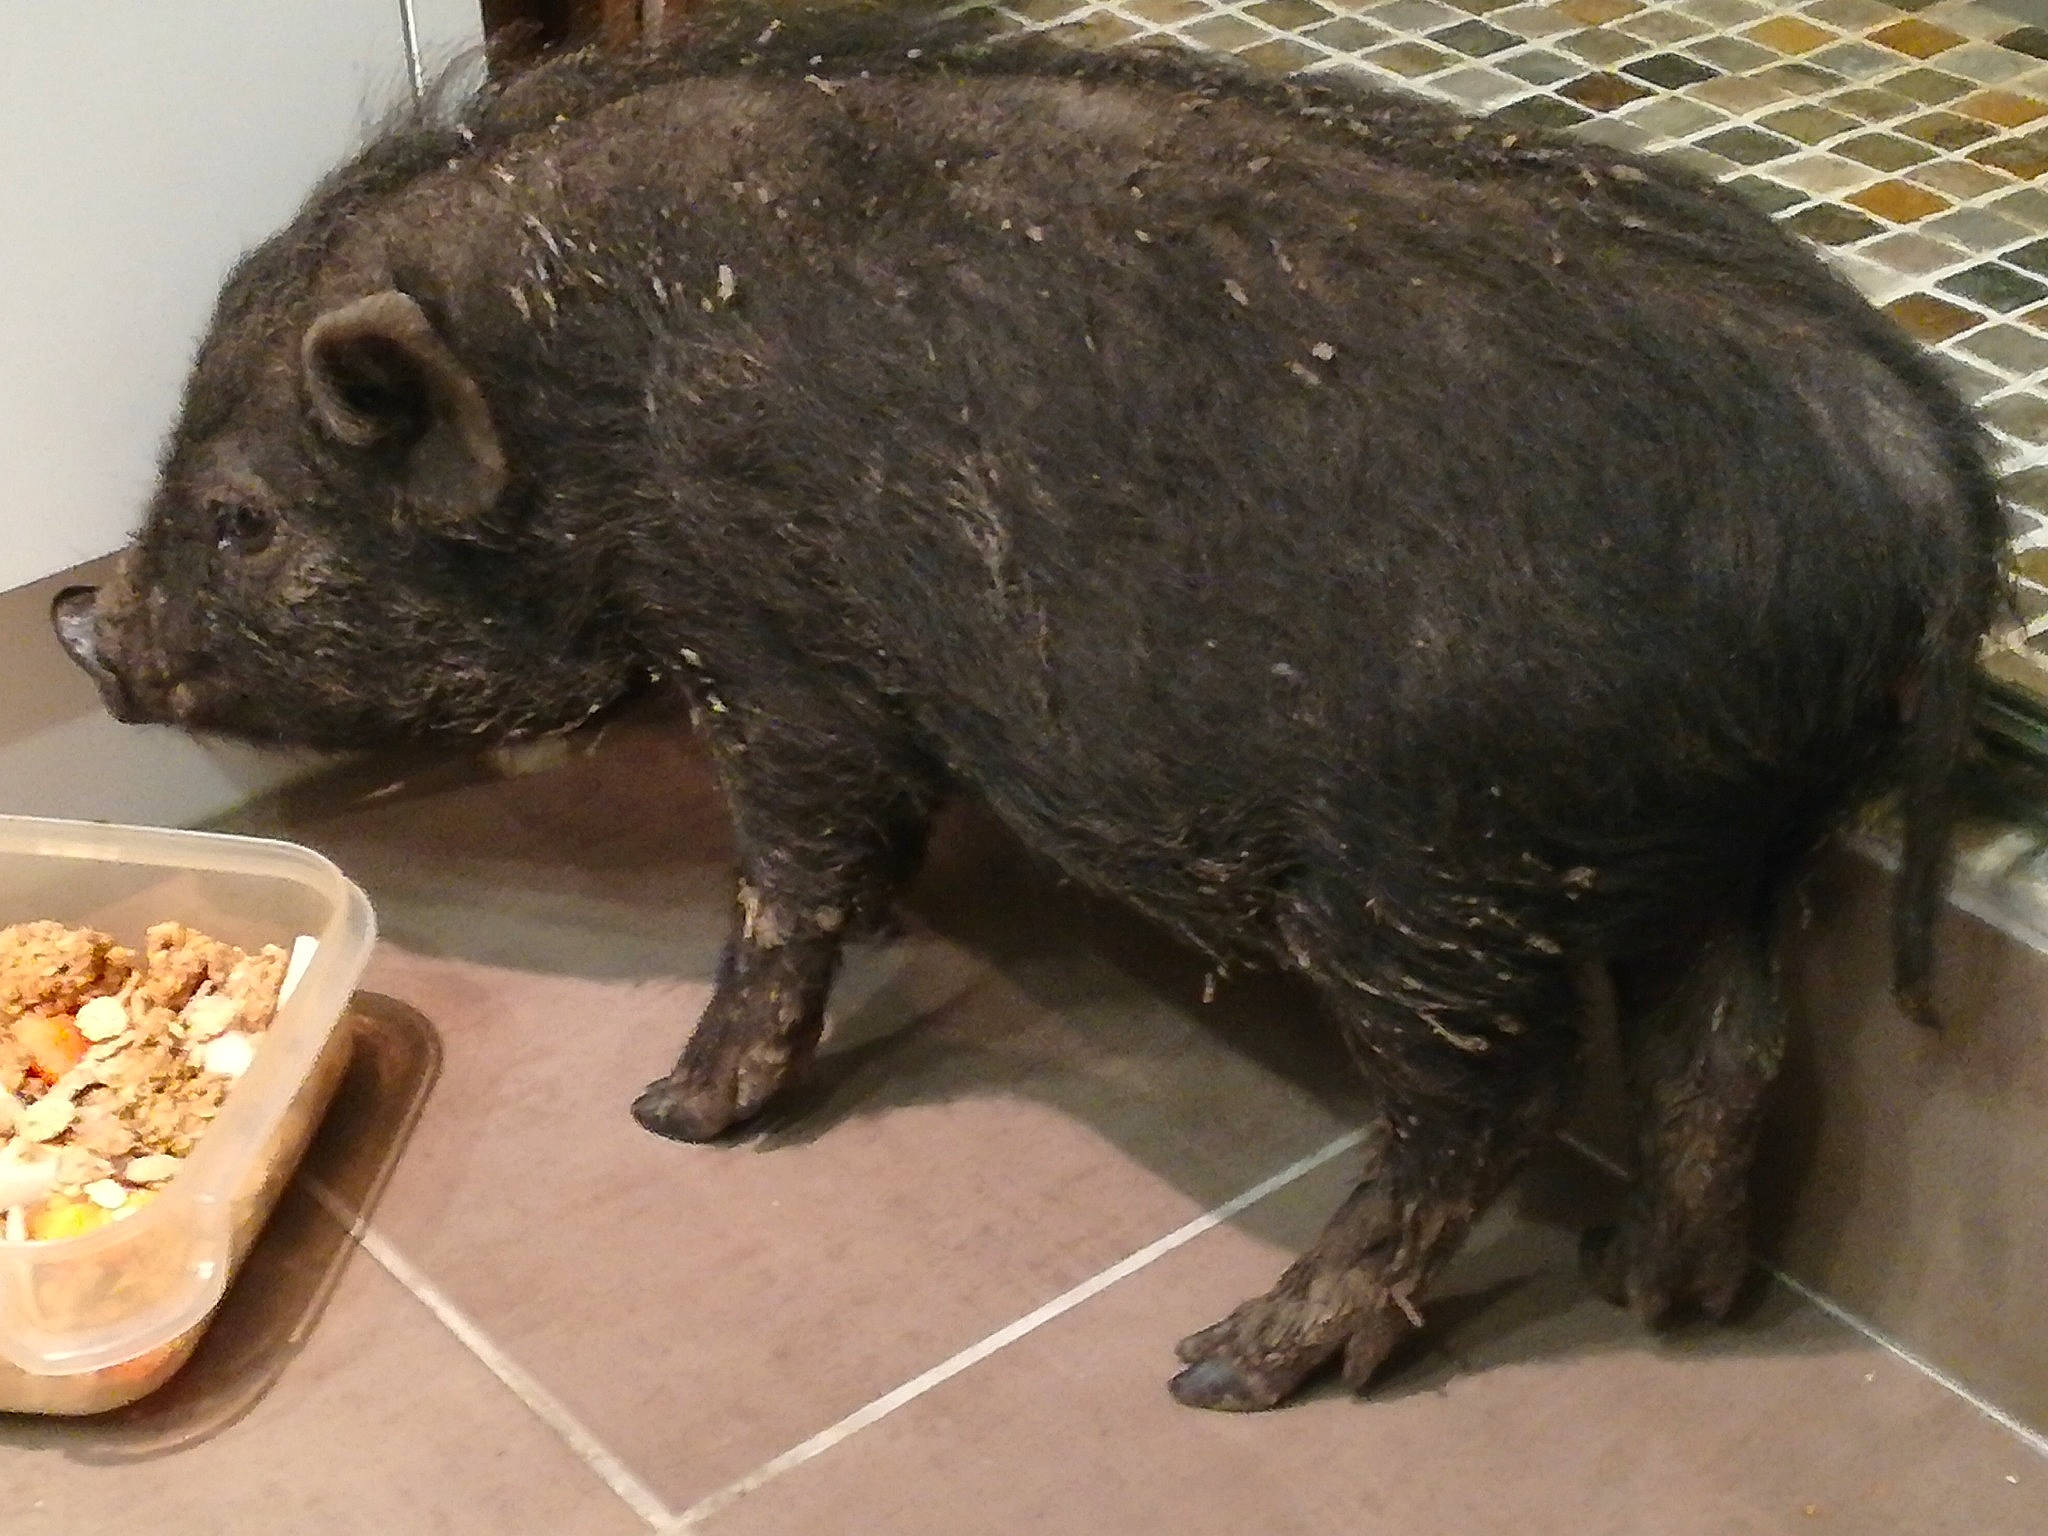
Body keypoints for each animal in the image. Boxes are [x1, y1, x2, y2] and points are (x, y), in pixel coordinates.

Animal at [53, 1, 2006, 1411]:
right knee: (1726, 1048)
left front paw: (677, 1110)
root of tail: (1914, 480)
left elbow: (783, 875)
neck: (583, 386)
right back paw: (1654, 1290)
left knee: (1492, 1103)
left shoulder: (766, 647)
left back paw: (1227, 1365)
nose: (83, 620)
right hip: (1726, 844)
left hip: (1435, 874)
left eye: (239, 517)